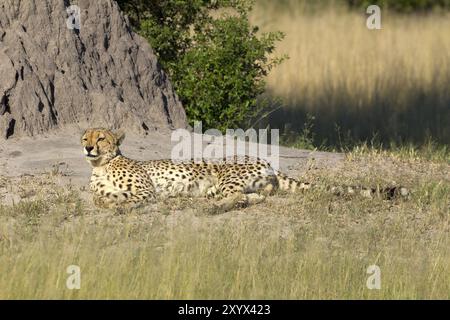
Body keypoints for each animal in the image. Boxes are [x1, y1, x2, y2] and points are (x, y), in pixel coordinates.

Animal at [80, 127, 408, 212]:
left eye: (101, 138)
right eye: (85, 136)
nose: (87, 148)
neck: (101, 165)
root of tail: (266, 161)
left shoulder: (147, 190)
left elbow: (127, 198)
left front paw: (117, 206)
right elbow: (99, 196)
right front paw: (109, 201)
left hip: (226, 176)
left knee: (235, 196)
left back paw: (212, 208)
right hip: (242, 185)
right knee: (257, 197)